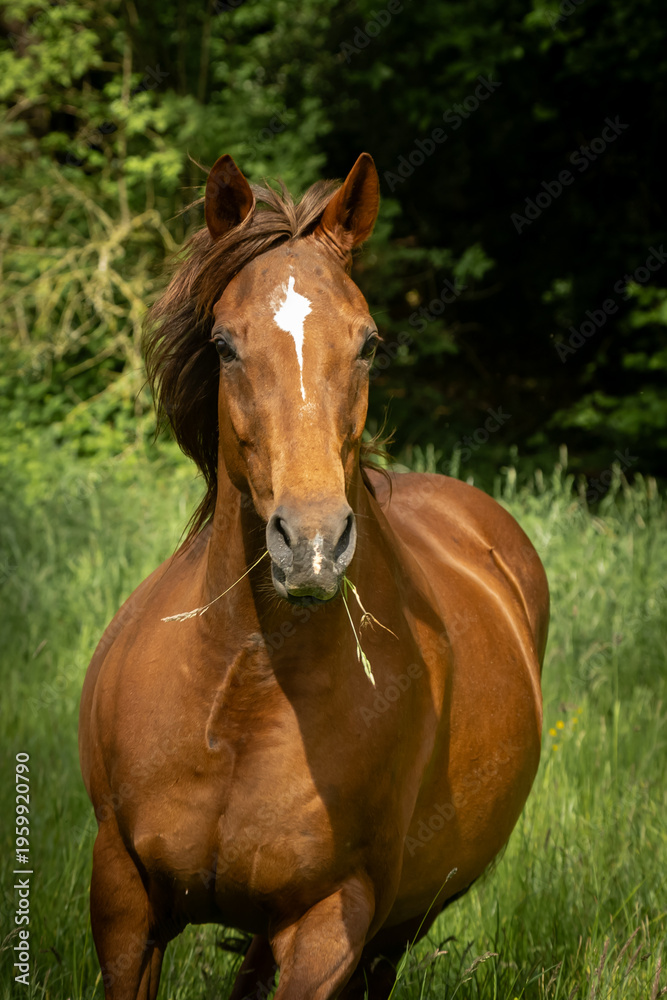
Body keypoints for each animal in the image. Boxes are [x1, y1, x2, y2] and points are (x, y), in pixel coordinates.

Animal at [79, 152, 549, 1000]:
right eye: (224, 344)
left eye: (366, 344)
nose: (314, 545)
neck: (242, 691)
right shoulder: (123, 900)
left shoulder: (332, 923)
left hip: (396, 929)